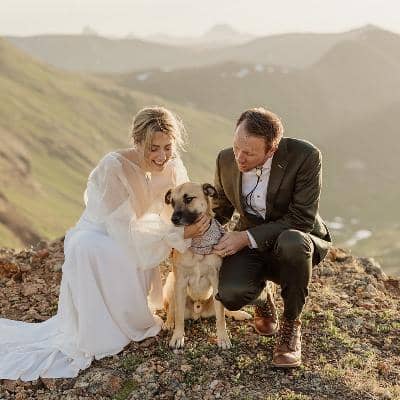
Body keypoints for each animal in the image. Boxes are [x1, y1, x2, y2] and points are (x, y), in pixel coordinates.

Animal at [163, 182, 251, 349]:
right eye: (172, 202)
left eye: (188, 199)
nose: (173, 219)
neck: (199, 243)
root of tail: (198, 313)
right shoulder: (181, 282)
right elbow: (178, 316)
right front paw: (178, 336)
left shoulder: (216, 281)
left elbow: (221, 317)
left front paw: (223, 338)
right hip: (171, 282)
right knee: (172, 309)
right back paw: (168, 322)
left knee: (222, 311)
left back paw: (238, 314)